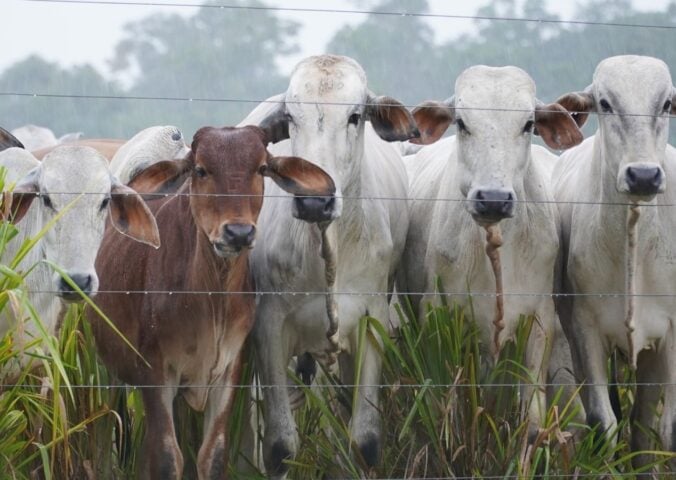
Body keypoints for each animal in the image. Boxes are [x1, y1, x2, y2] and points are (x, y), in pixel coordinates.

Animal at [88, 125, 334, 478]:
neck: (211, 297)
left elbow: (212, 455)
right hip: (110, 371)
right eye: (201, 170)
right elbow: (166, 457)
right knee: (110, 429)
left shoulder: (229, 370)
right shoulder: (155, 372)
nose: (238, 233)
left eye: (261, 168)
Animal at [236, 53, 418, 476]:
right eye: (291, 118)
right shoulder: (268, 327)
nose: (314, 200)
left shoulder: (371, 320)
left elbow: (363, 441)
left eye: (355, 116)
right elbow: (279, 446)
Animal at [404, 65, 584, 440]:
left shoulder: (540, 318)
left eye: (528, 124)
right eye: (462, 122)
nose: (493, 199)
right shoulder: (436, 313)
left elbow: (532, 422)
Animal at [552, 55, 676, 464]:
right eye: (605, 103)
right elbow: (603, 422)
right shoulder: (585, 331)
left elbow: (666, 428)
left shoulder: (670, 336)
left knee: (642, 423)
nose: (644, 175)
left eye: (666, 103)